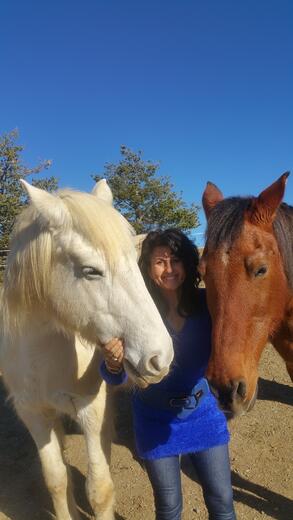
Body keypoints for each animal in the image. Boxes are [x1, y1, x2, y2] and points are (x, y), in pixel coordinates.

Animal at [0, 180, 172, 520]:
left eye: (135, 264)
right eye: (91, 271)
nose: (161, 357)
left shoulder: (92, 409)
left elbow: (99, 489)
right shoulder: (33, 413)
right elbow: (55, 479)